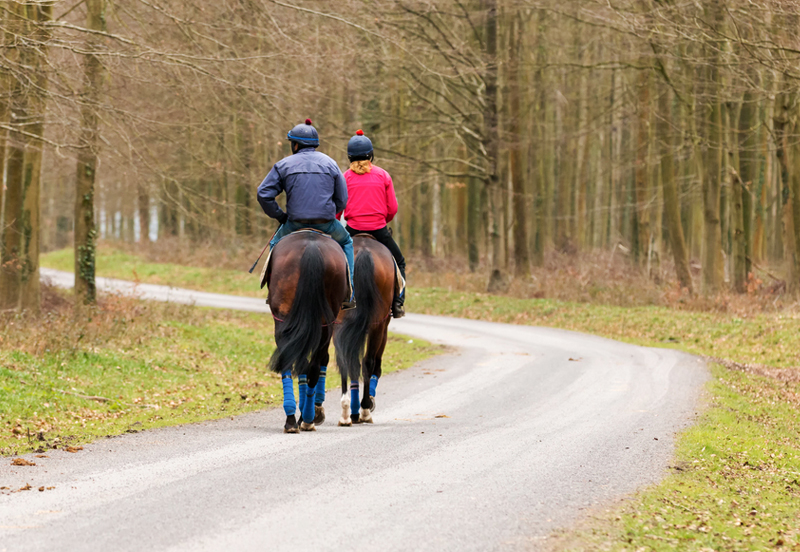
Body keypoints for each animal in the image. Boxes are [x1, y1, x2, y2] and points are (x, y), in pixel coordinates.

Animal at [266, 231, 346, 434]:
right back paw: (304, 418)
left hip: (284, 321)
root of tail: (311, 248)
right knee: (313, 365)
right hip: (325, 325)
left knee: (293, 361)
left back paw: (295, 419)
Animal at [332, 235, 396, 424]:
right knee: (368, 362)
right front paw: (366, 405)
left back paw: (346, 412)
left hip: (339, 323)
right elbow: (376, 366)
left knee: (346, 360)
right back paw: (365, 408)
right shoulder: (383, 328)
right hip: (377, 325)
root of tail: (363, 251)